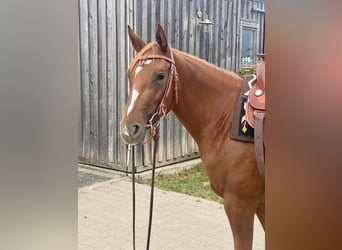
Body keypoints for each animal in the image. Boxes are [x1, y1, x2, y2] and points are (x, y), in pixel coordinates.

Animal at [120, 24, 264, 250]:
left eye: (160, 75)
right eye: (130, 74)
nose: (129, 130)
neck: (227, 118)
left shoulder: (240, 206)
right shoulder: (261, 205)